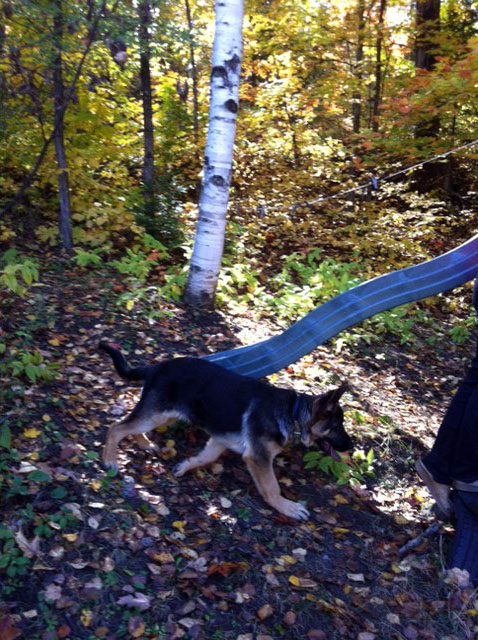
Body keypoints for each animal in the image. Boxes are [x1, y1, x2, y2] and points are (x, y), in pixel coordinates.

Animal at [99, 341, 352, 521]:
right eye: (336, 426)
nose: (351, 447)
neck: (294, 412)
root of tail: (158, 366)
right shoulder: (258, 458)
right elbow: (272, 486)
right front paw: (286, 507)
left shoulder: (219, 441)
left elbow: (205, 458)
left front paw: (184, 467)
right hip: (157, 414)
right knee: (116, 427)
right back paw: (110, 459)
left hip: (163, 415)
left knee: (132, 427)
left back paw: (144, 443)